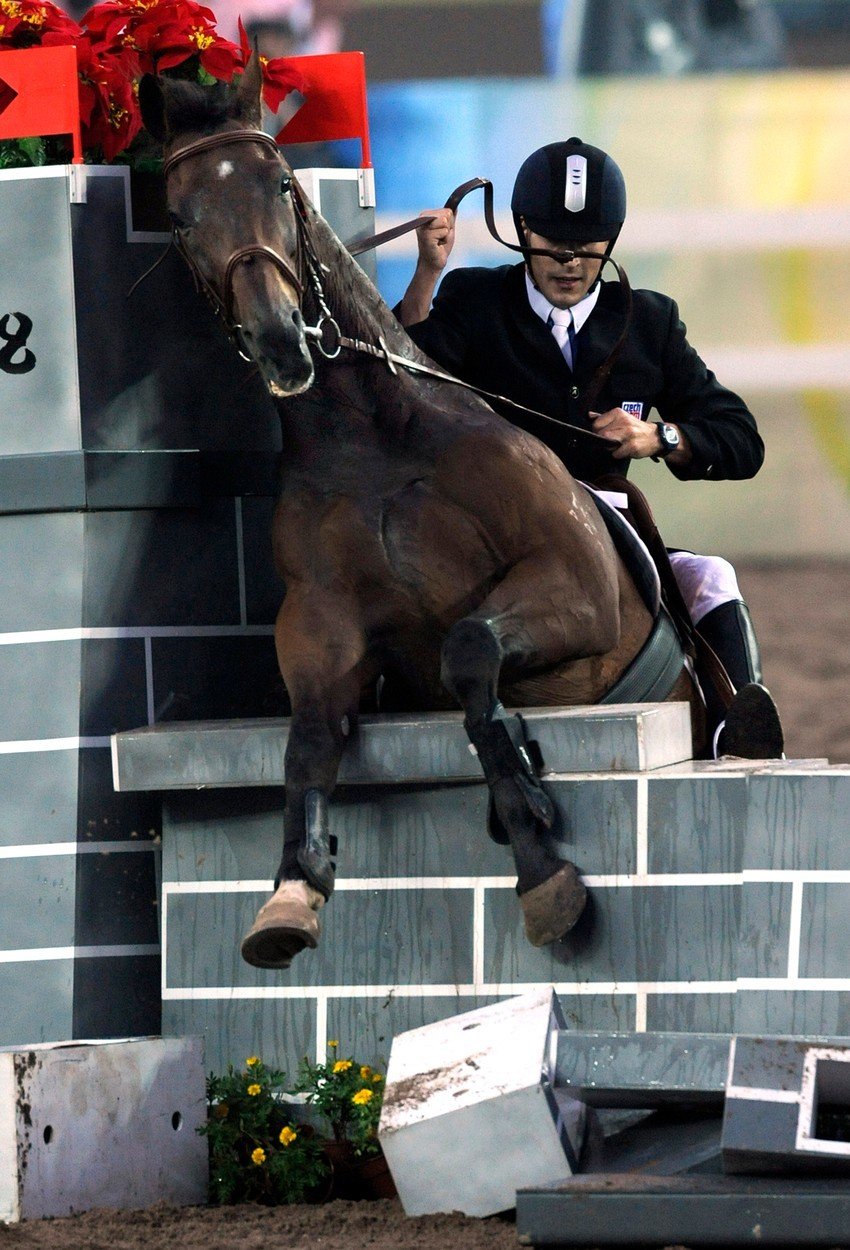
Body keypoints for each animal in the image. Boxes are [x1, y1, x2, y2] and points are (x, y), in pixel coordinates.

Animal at [139, 63, 705, 970]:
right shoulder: (323, 624)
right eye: (181, 218)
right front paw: (294, 888)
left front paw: (542, 867)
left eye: (282, 183)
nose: (280, 340)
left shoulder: (578, 588)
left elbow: (469, 649)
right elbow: (309, 734)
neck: (373, 441)